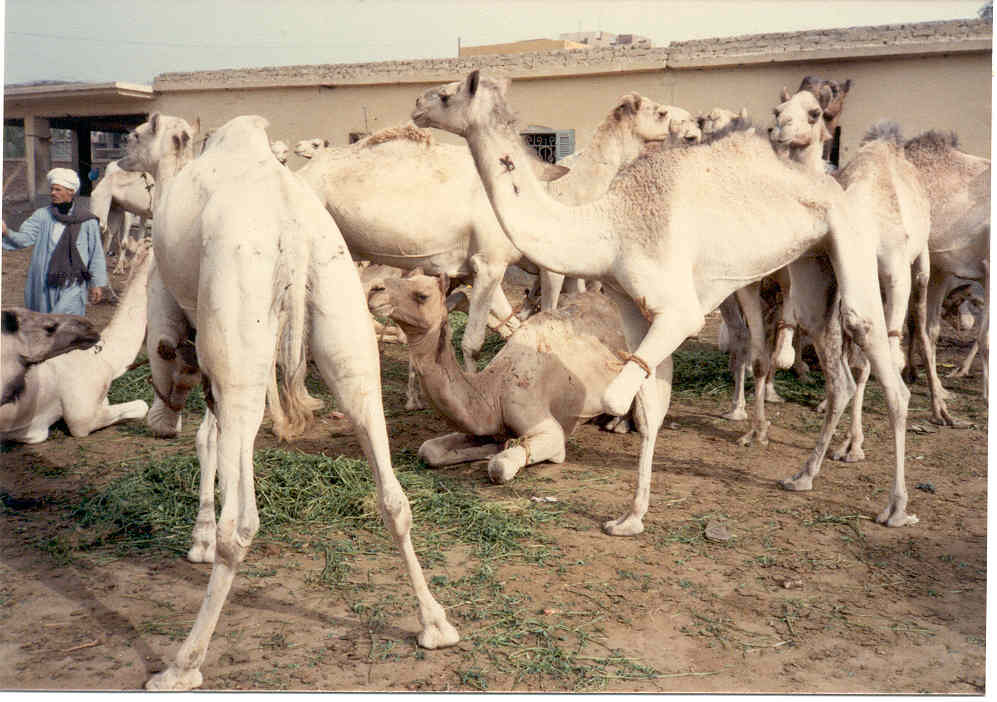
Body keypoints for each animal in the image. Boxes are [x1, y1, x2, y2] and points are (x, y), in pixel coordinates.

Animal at [117, 113, 460, 692]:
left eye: (137, 132)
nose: (119, 153)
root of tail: (293, 228)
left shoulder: (180, 319)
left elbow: (203, 431)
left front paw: (199, 538)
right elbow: (216, 439)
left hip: (240, 318)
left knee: (242, 523)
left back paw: (182, 664)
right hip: (342, 313)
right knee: (391, 489)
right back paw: (435, 624)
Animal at [370, 272, 672, 486]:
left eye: (421, 295)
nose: (375, 289)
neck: (492, 391)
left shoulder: (545, 426)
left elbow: (500, 466)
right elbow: (428, 450)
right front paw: (492, 445)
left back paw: (618, 423)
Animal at [410, 70, 912, 532]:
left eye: (447, 93)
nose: (416, 105)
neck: (608, 227)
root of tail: (835, 185)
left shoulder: (679, 313)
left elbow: (616, 396)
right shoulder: (634, 308)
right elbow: (650, 404)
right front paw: (631, 516)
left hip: (851, 239)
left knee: (880, 357)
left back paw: (894, 506)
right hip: (813, 263)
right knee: (834, 367)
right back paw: (803, 475)